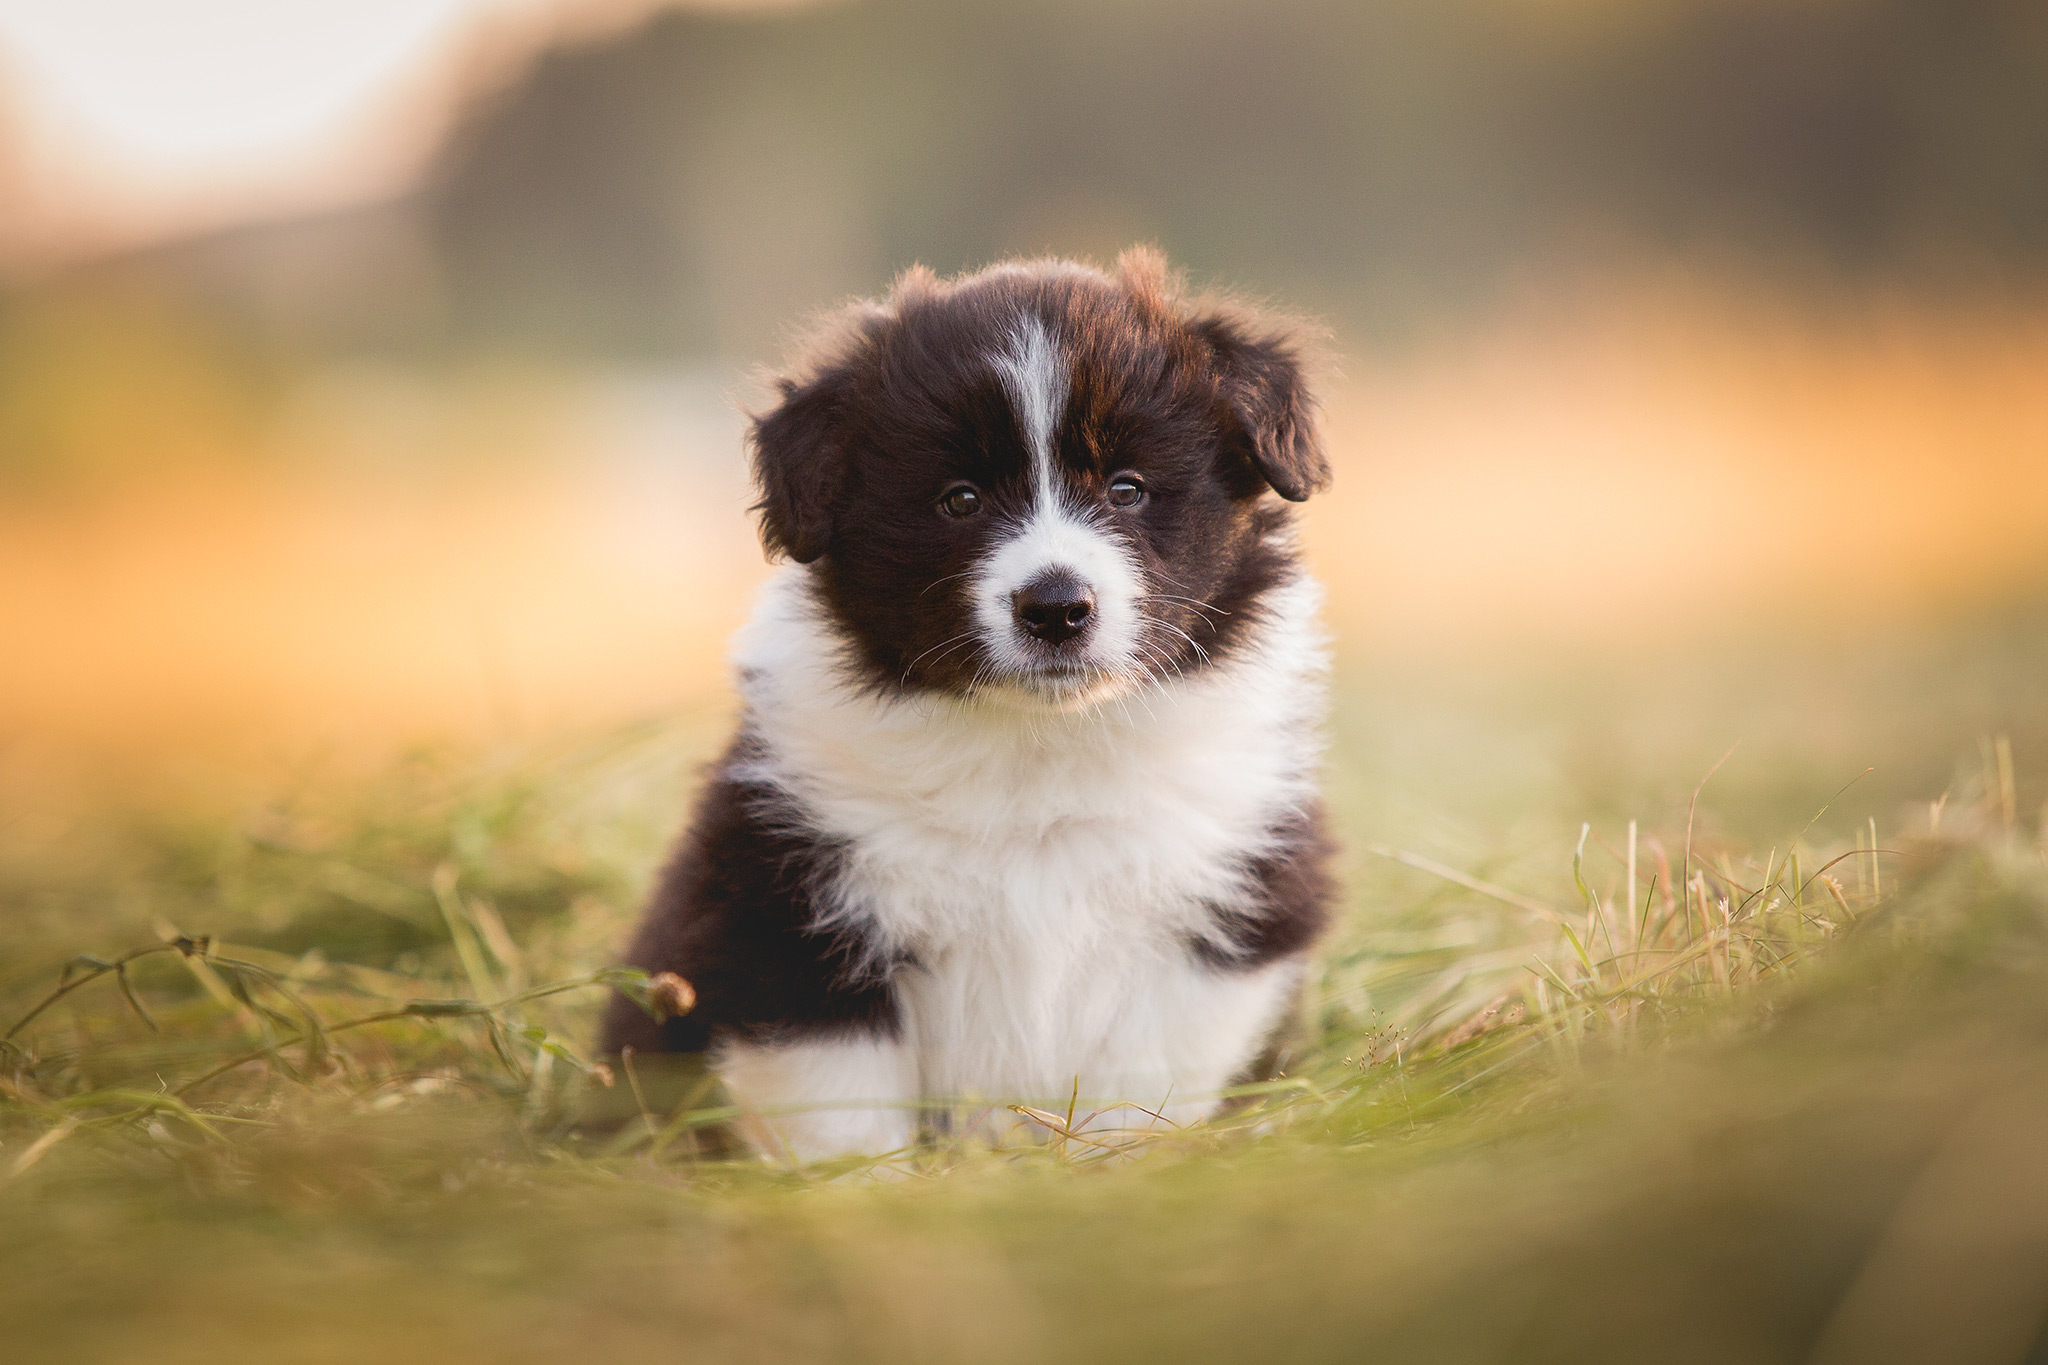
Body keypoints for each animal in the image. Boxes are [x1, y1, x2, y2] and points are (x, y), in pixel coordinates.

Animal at [598, 250, 1335, 1162]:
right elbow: (839, 1104)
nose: (1056, 608)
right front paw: (863, 1184)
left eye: (1127, 489)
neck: (1037, 748)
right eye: (960, 499)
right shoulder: (784, 907)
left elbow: (1144, 1075)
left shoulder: (1229, 905)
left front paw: (1115, 1167)